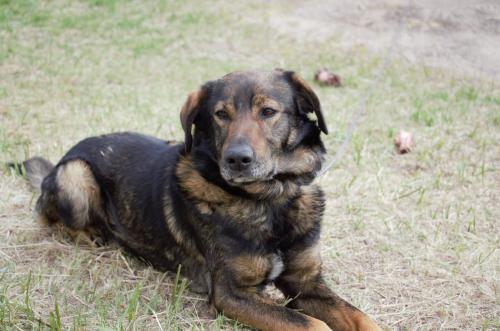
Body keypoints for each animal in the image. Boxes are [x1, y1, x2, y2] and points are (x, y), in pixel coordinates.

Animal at [11, 70, 380, 331]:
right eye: (221, 114)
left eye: (268, 111)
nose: (237, 159)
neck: (270, 200)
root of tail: (59, 161)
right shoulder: (232, 294)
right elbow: (313, 325)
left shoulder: (305, 282)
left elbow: (361, 318)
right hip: (76, 177)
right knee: (51, 217)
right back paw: (96, 236)